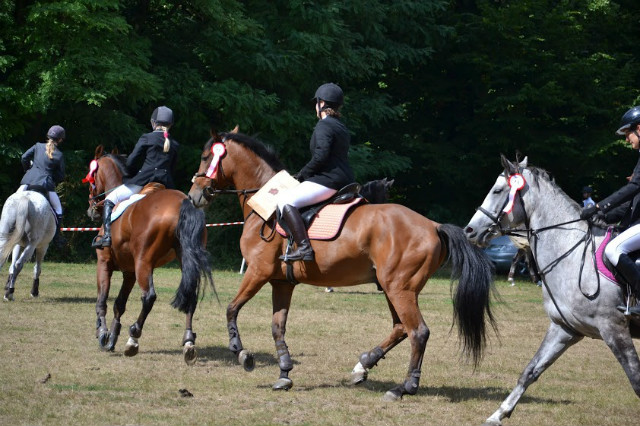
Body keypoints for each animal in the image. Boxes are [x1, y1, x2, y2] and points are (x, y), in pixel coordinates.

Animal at [81, 146, 212, 362]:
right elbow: (119, 304)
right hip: (184, 259)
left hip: (144, 262)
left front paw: (103, 334)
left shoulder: (104, 263)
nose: (91, 211)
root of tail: (182, 204)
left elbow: (102, 301)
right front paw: (112, 339)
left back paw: (133, 338)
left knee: (149, 296)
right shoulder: (129, 272)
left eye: (92, 179)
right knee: (190, 296)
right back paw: (188, 342)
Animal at [188, 129, 498, 400]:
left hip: (400, 288)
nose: (194, 195)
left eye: (205, 156)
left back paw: (403, 387)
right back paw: (364, 365)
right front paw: (284, 375)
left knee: (418, 332)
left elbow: (231, 309)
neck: (266, 206)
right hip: (392, 287)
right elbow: (277, 327)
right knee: (401, 328)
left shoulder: (257, 272)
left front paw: (241, 353)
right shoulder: (281, 282)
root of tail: (434, 226)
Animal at [464, 156, 640, 426]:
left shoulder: (614, 328)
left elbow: (636, 380)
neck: (572, 254)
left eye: (498, 190)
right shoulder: (564, 328)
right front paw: (498, 414)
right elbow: (530, 370)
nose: (470, 230)